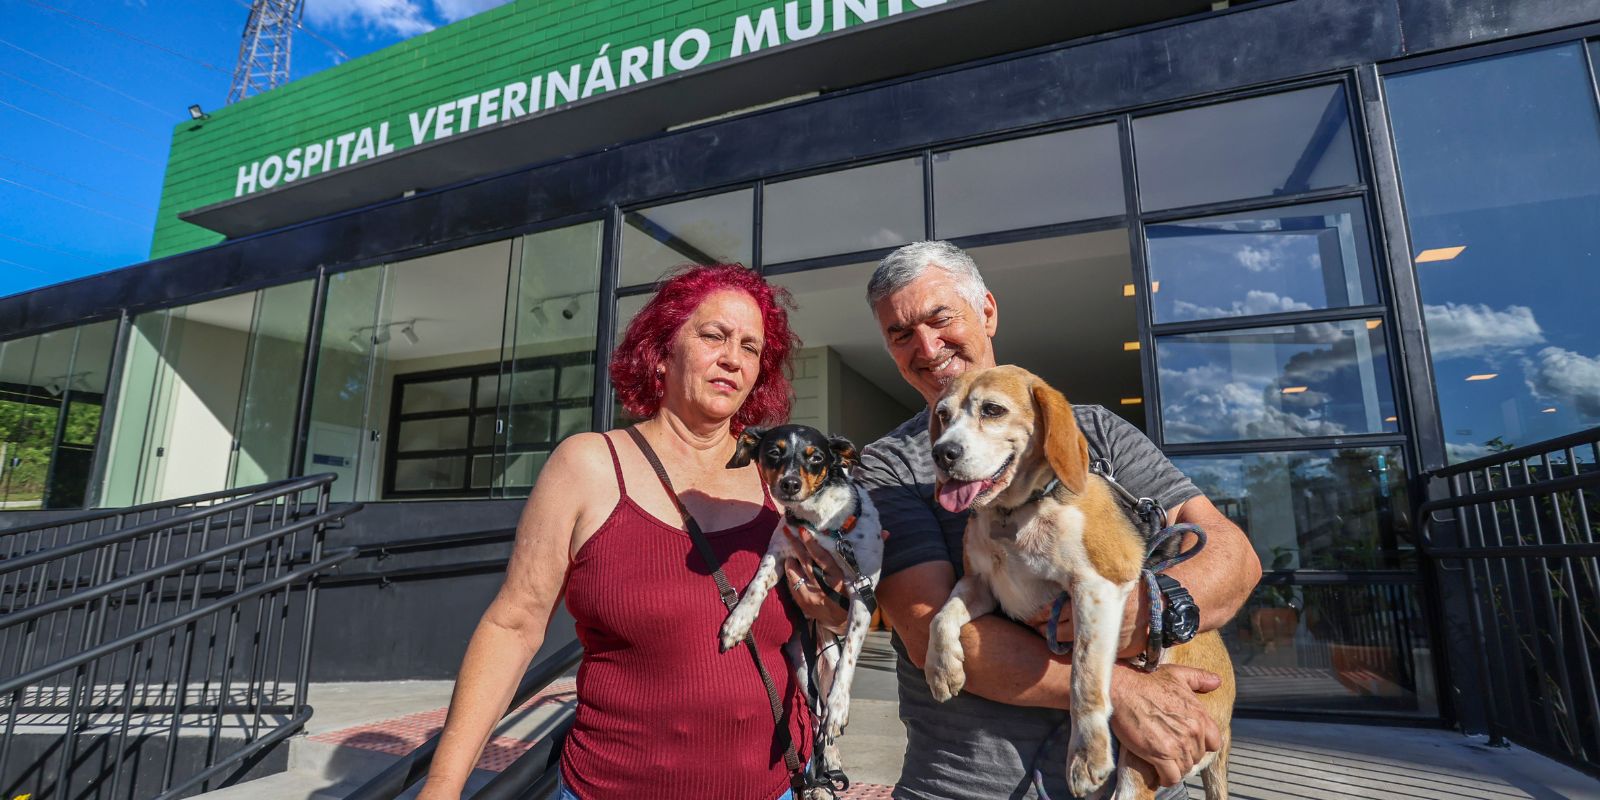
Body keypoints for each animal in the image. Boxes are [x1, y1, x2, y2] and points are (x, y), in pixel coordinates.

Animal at [726, 425, 889, 787]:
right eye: (774, 452)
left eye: (815, 457)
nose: (789, 484)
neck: (821, 522)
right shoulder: (777, 555)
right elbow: (756, 586)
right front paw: (738, 621)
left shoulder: (860, 591)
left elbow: (850, 659)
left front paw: (840, 706)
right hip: (803, 667)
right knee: (814, 716)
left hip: (826, 661)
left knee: (825, 705)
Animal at [921, 366, 1228, 800]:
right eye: (943, 415)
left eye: (993, 410)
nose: (941, 453)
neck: (1016, 512)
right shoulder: (980, 584)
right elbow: (941, 615)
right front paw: (942, 667)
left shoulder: (1097, 587)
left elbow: (1083, 676)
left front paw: (1088, 754)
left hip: (1145, 758)